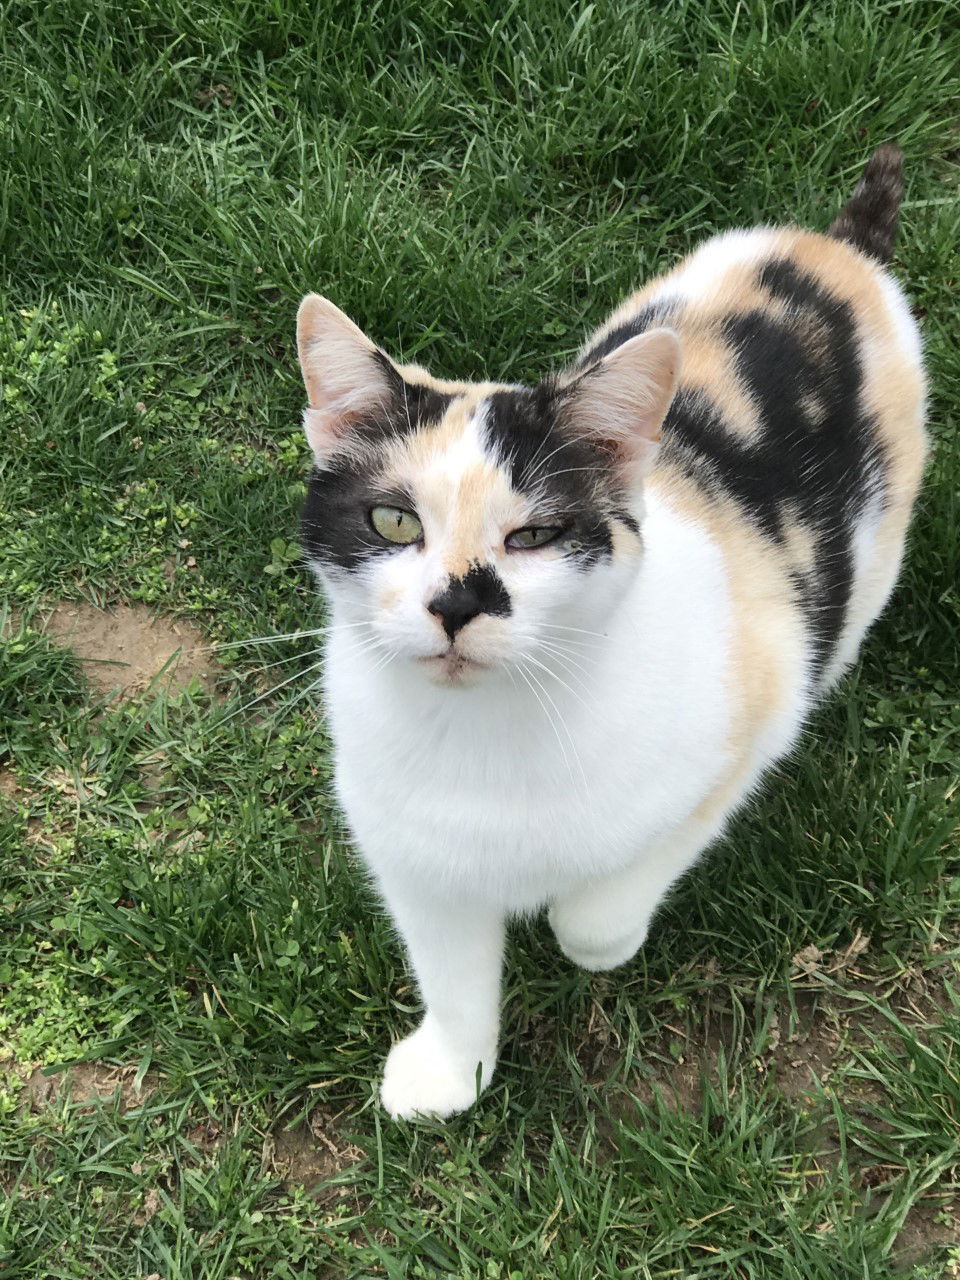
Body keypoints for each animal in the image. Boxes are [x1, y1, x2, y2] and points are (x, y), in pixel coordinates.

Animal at [295, 145, 926, 1116]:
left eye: (534, 537)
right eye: (394, 522)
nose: (456, 604)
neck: (487, 738)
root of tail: (835, 251)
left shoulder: (746, 730)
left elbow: (595, 912)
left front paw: (595, 932)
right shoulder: (414, 854)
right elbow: (450, 972)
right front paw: (450, 1071)